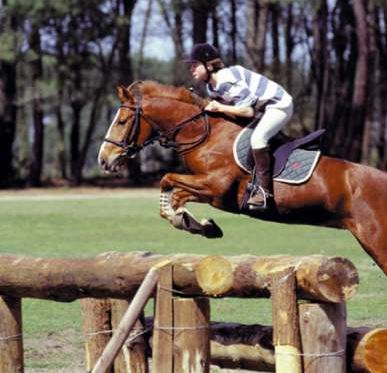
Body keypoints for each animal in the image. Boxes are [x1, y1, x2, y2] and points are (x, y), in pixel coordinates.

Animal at [98, 80, 387, 274]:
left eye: (122, 121)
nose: (104, 159)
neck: (206, 133)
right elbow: (168, 185)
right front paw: (196, 223)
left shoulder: (215, 188)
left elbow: (171, 183)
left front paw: (190, 221)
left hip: (377, 240)